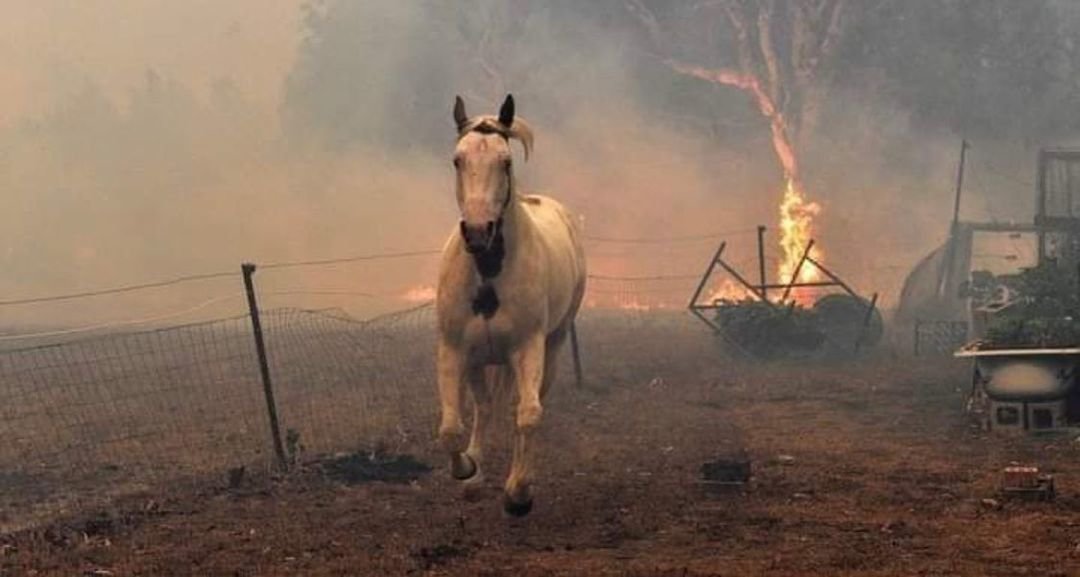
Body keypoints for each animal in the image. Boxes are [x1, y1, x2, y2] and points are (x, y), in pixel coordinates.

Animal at [434, 96, 587, 520]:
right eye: (457, 159)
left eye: (505, 161)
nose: (477, 231)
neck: (488, 273)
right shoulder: (454, 349)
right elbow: (451, 428)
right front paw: (468, 470)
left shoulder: (527, 348)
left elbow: (529, 416)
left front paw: (518, 494)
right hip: (481, 358)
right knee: (486, 407)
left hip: (551, 346)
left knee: (525, 407)